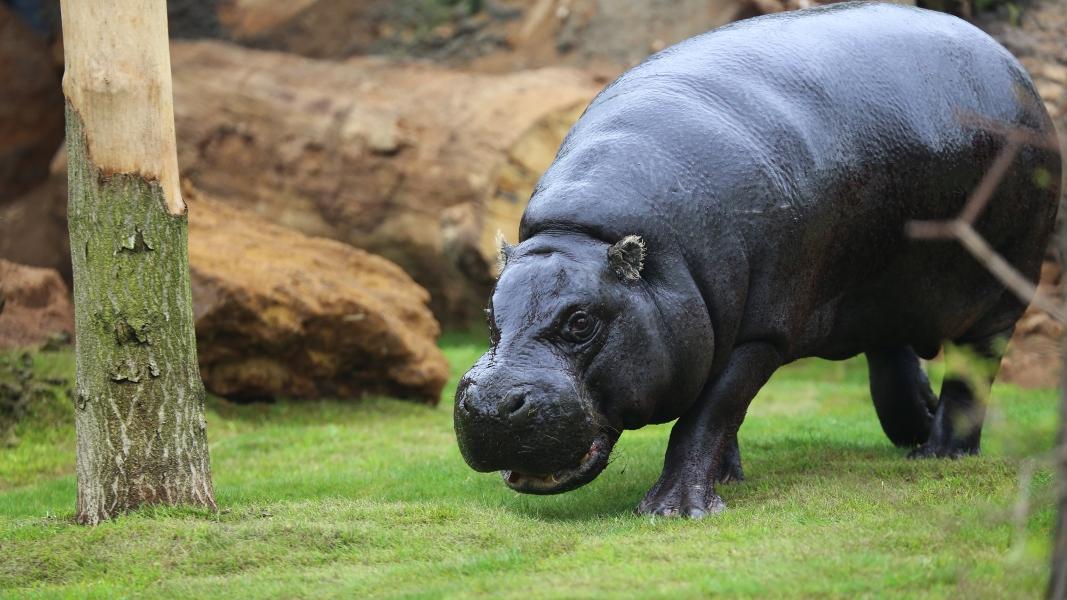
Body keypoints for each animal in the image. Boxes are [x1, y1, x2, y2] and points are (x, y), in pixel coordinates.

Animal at [453, 2, 1062, 518]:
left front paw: (674, 510)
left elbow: (708, 414)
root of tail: (1014, 67)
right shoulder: (715, 327)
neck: (588, 235)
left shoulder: (759, 333)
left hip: (1000, 294)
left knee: (971, 373)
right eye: (489, 315)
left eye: (581, 322)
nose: (489, 403)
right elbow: (719, 418)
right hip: (882, 288)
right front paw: (727, 478)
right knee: (891, 357)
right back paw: (917, 429)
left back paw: (940, 454)